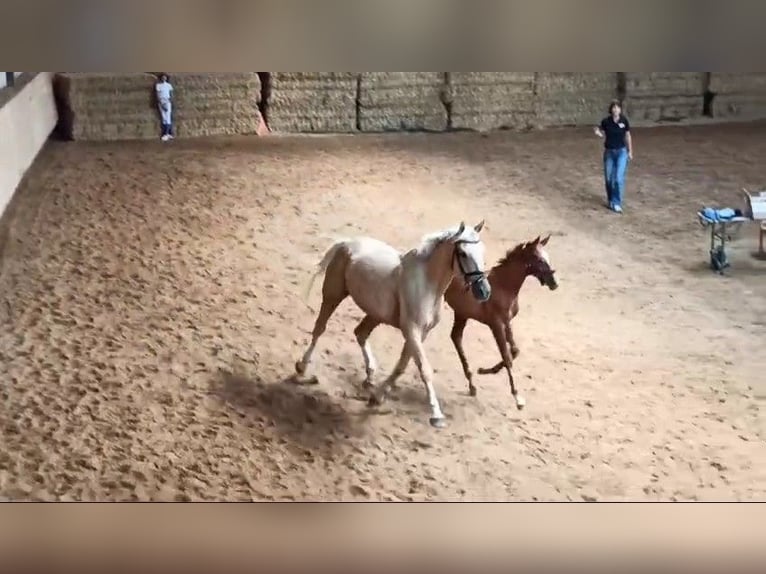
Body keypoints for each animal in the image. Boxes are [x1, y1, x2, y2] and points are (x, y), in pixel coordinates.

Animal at [296, 223, 492, 430]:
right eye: (462, 253)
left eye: (482, 251)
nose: (484, 291)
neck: (428, 285)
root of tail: (346, 243)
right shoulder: (412, 330)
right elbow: (424, 369)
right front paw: (437, 416)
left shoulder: (421, 333)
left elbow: (402, 366)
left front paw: (377, 397)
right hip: (333, 295)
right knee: (320, 328)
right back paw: (302, 367)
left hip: (375, 314)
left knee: (360, 333)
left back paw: (370, 376)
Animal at [444, 236, 560, 412]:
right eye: (540, 260)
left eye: (548, 257)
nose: (554, 283)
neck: (503, 287)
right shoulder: (496, 324)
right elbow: (507, 356)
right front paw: (517, 397)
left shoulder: (507, 322)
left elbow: (514, 351)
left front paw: (485, 370)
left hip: (461, 314)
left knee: (456, 337)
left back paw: (472, 385)